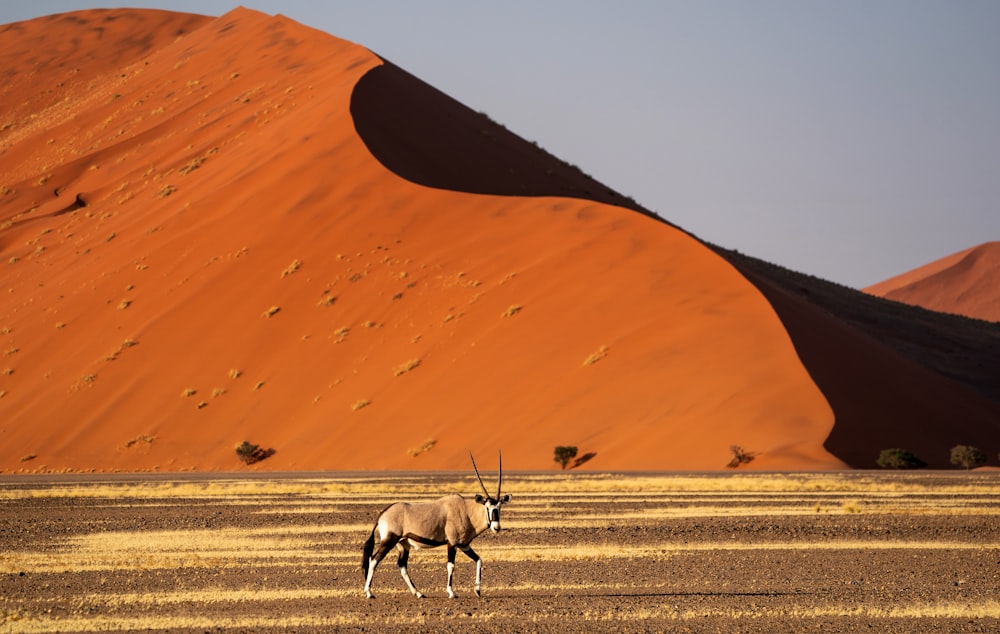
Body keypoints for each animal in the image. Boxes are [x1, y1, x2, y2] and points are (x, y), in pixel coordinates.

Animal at [362, 450, 508, 596]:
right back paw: (369, 593)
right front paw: (451, 592)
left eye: (499, 507)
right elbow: (451, 566)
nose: (496, 527)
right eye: (487, 507)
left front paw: (477, 590)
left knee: (402, 565)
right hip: (389, 540)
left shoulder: (464, 545)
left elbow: (478, 560)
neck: (466, 511)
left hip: (403, 544)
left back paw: (418, 593)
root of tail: (382, 514)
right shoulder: (452, 543)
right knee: (374, 559)